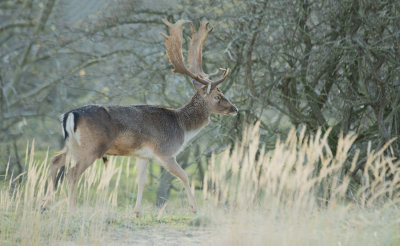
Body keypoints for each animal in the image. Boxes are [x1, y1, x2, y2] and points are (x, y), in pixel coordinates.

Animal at [41, 18, 238, 217]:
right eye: (218, 96)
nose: (235, 109)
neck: (182, 127)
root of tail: (69, 115)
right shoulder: (165, 152)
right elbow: (184, 175)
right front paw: (195, 209)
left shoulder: (143, 155)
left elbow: (141, 181)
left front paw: (137, 211)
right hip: (92, 147)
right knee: (71, 174)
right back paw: (72, 210)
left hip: (73, 145)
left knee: (55, 161)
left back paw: (45, 206)